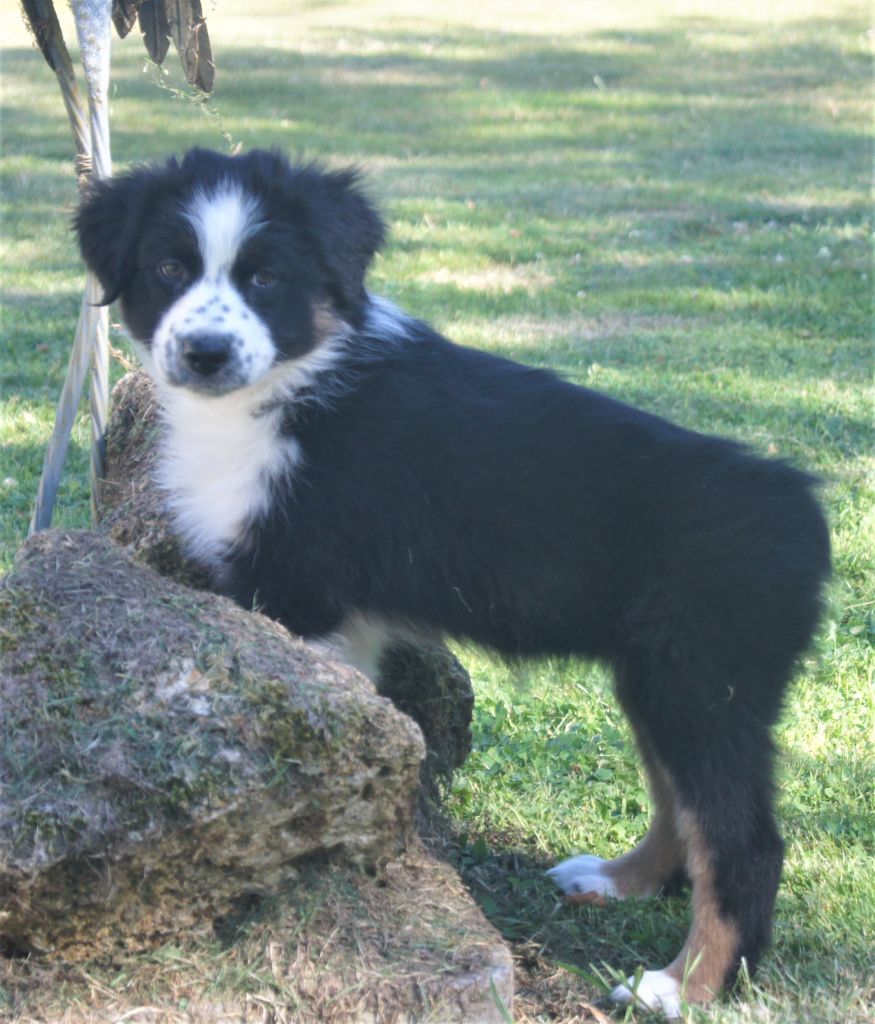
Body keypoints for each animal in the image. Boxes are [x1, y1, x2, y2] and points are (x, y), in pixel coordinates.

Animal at [75, 147, 830, 1016]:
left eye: (265, 279)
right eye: (169, 268)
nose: (204, 352)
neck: (291, 384)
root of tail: (803, 509)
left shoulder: (298, 592)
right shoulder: (343, 622)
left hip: (704, 679)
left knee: (742, 840)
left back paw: (681, 987)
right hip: (658, 676)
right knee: (681, 805)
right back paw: (616, 880)